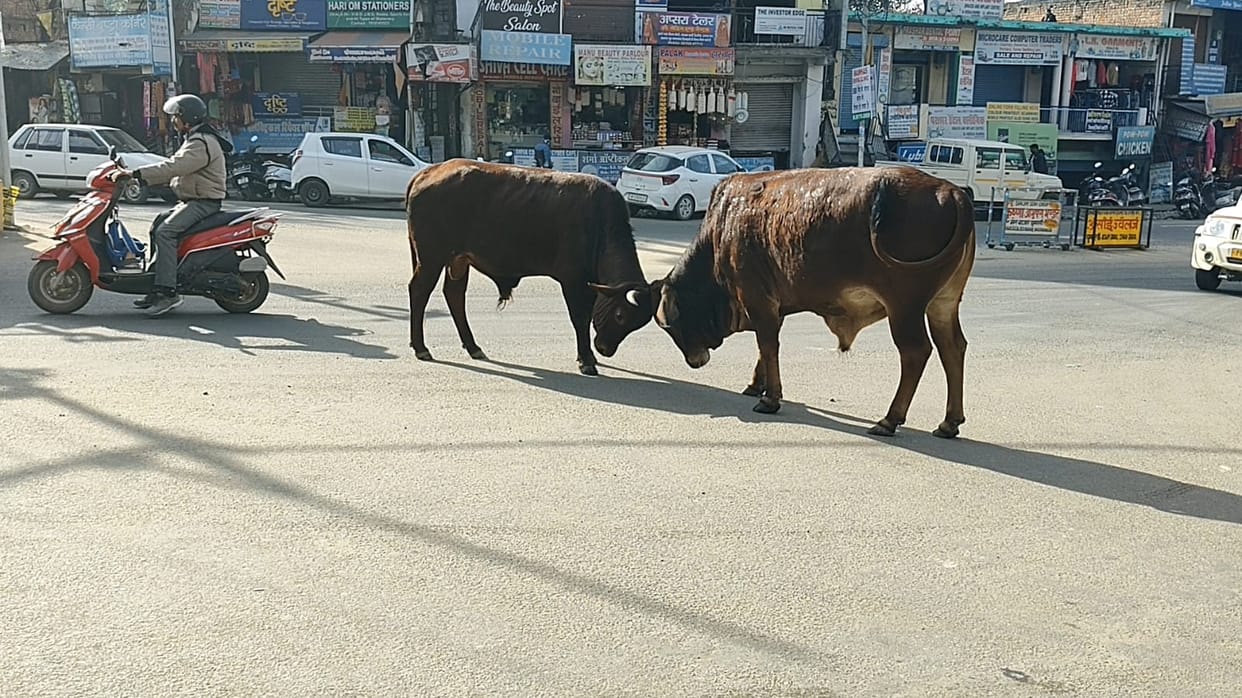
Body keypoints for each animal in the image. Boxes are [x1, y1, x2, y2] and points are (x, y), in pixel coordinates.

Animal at [404, 159, 653, 376]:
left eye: (637, 324)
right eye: (620, 315)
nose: (605, 349)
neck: (599, 225)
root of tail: (429, 170)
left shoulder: (590, 285)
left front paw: (590, 356)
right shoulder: (572, 281)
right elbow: (579, 319)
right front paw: (586, 360)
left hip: (458, 260)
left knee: (454, 294)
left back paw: (473, 346)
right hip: (431, 258)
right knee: (419, 291)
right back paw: (421, 347)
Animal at [647, 166, 976, 438]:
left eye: (670, 325)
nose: (694, 361)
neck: (721, 231)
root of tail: (952, 192)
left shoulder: (756, 298)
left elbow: (768, 345)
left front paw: (770, 398)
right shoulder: (771, 305)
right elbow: (765, 349)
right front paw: (756, 385)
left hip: (904, 306)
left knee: (915, 352)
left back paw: (890, 420)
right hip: (943, 303)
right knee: (952, 347)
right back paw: (949, 422)